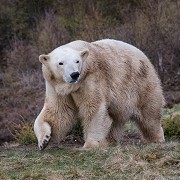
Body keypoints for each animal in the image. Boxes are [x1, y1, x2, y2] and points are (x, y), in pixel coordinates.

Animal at [33, 39, 165, 150]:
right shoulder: (56, 87)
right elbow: (58, 112)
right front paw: (44, 140)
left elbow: (94, 107)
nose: (74, 74)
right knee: (115, 118)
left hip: (141, 83)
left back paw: (155, 138)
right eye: (61, 63)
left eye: (77, 61)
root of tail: (144, 56)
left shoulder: (91, 78)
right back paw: (109, 141)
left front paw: (90, 145)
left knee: (149, 114)